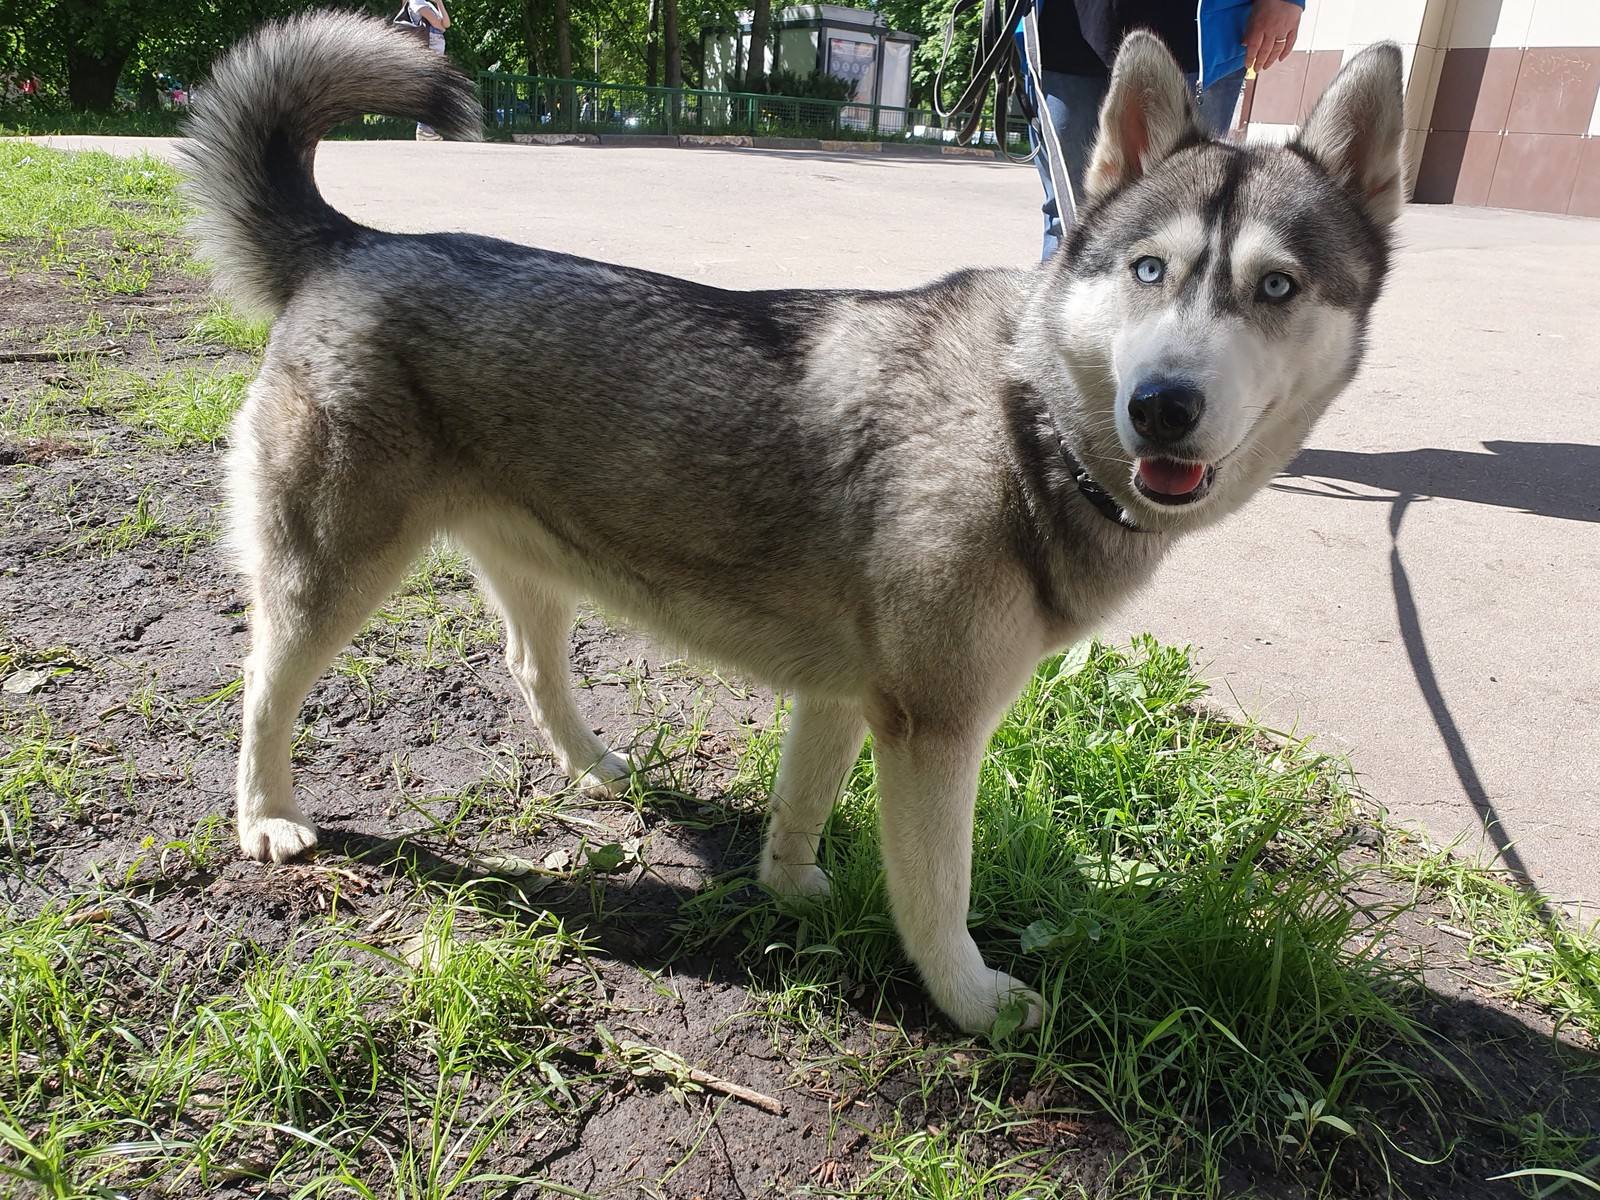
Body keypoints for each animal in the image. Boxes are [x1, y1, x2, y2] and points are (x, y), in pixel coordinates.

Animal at [184, 11, 1401, 1036]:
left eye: (1277, 287)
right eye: (1151, 270)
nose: (1162, 404)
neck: (1026, 420)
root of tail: (351, 243)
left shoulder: (847, 695)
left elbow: (802, 809)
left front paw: (794, 889)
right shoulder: (936, 729)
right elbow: (939, 892)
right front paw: (971, 1003)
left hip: (539, 564)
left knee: (531, 670)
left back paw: (596, 767)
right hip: (331, 577)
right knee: (259, 686)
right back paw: (264, 817)